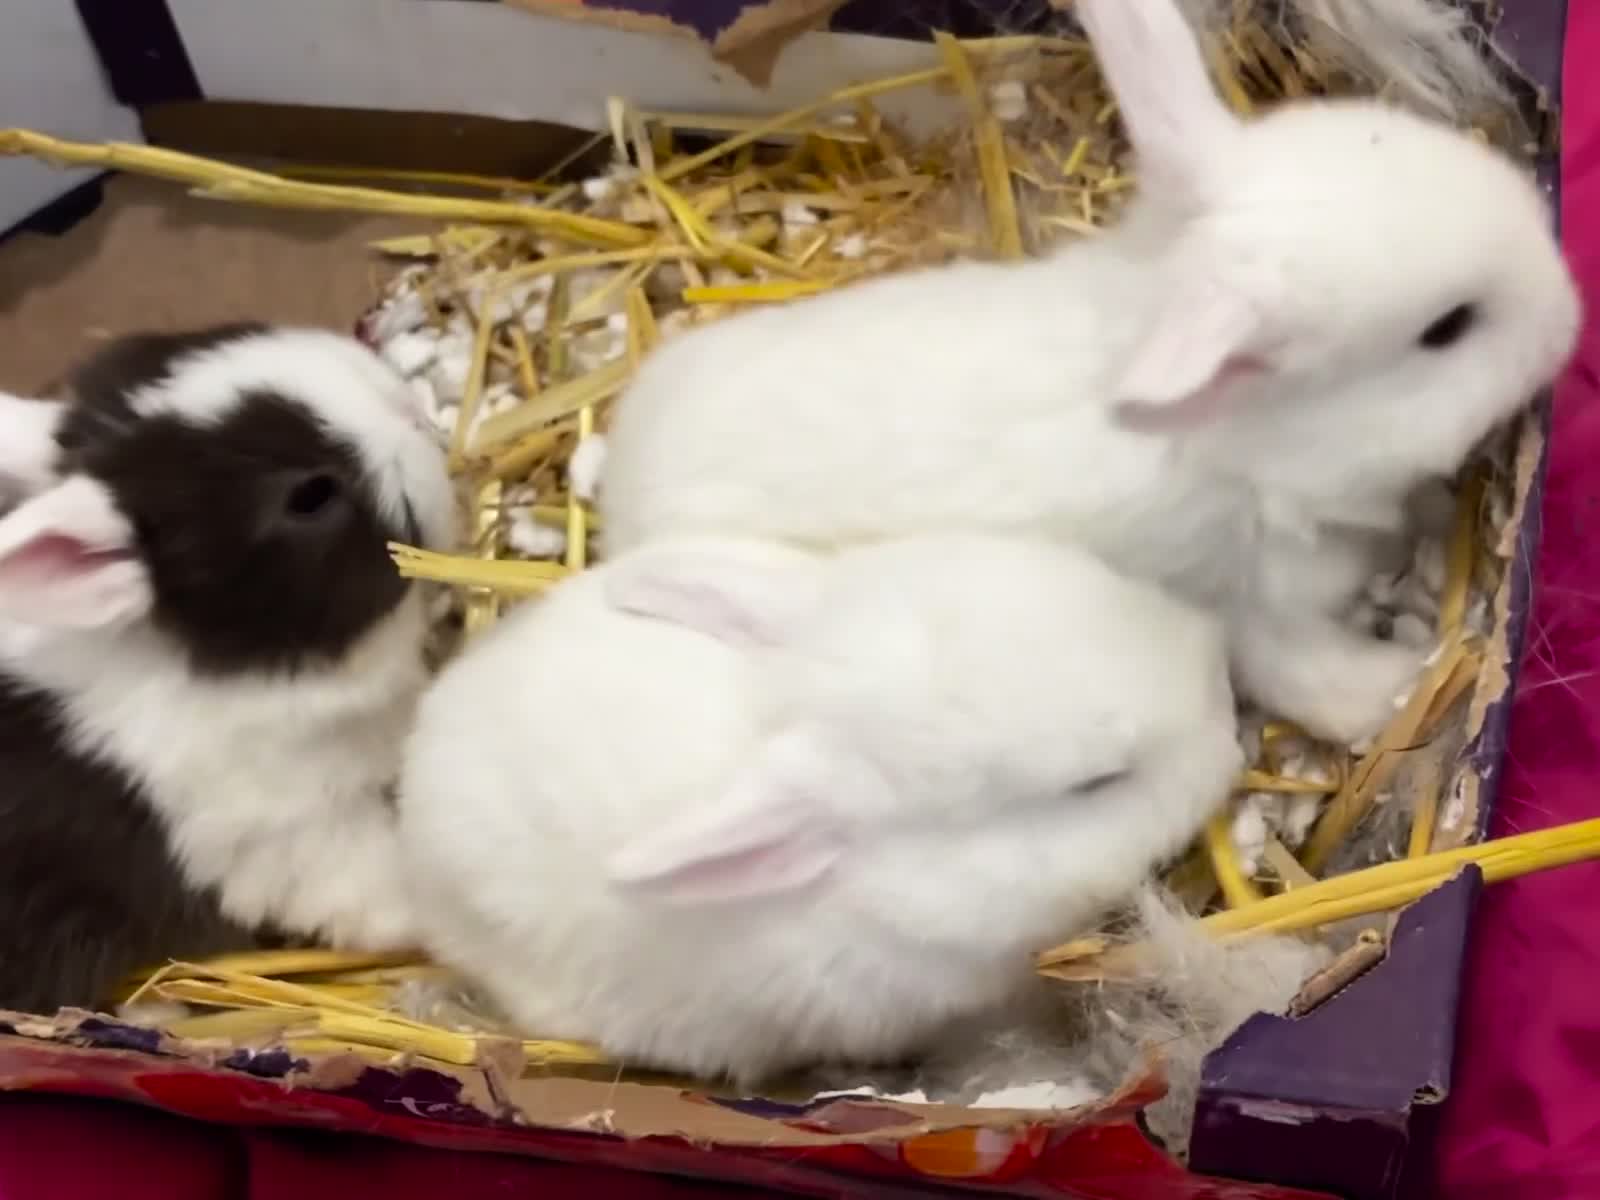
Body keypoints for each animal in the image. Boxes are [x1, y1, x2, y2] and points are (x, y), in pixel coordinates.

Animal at [598, 0, 1580, 749]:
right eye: (1446, 330)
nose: (1571, 317)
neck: (1250, 453)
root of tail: (620, 484)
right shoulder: (1258, 606)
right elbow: (1310, 674)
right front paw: (1400, 683)